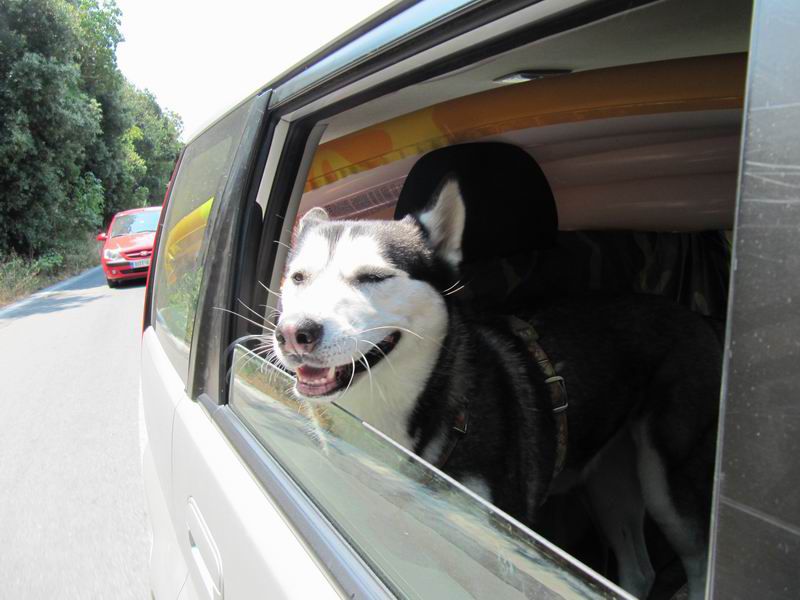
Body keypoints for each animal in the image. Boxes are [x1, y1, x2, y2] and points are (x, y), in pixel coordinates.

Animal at [272, 178, 720, 600]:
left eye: (373, 277)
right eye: (297, 278)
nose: (295, 333)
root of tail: (696, 317)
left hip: (667, 481)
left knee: (698, 558)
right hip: (610, 477)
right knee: (640, 570)